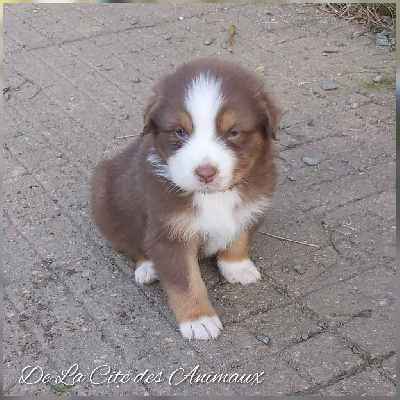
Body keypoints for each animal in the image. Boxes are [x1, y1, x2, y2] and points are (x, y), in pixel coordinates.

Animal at [90, 57, 280, 340]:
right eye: (180, 131)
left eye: (233, 132)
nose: (205, 172)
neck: (213, 197)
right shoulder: (169, 233)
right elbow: (186, 281)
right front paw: (199, 319)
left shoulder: (252, 206)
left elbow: (239, 236)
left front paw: (237, 267)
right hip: (106, 201)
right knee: (129, 243)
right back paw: (148, 268)